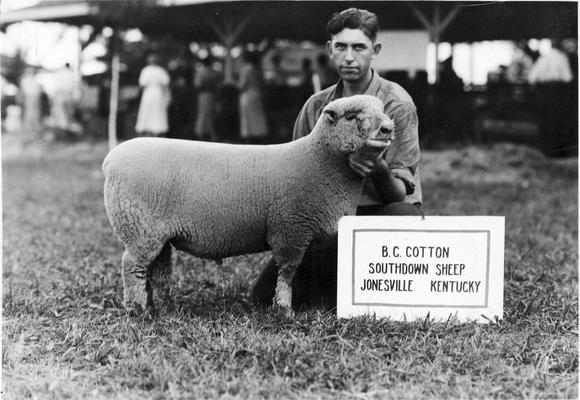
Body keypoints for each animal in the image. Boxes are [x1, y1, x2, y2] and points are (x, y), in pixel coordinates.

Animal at [103, 94, 394, 316]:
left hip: (156, 232)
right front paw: (284, 310)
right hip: (138, 226)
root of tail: (110, 160)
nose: (388, 128)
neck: (318, 161)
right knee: (132, 266)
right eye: (352, 116)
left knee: (157, 269)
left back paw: (158, 306)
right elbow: (288, 271)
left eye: (382, 110)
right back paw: (137, 310)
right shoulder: (291, 229)